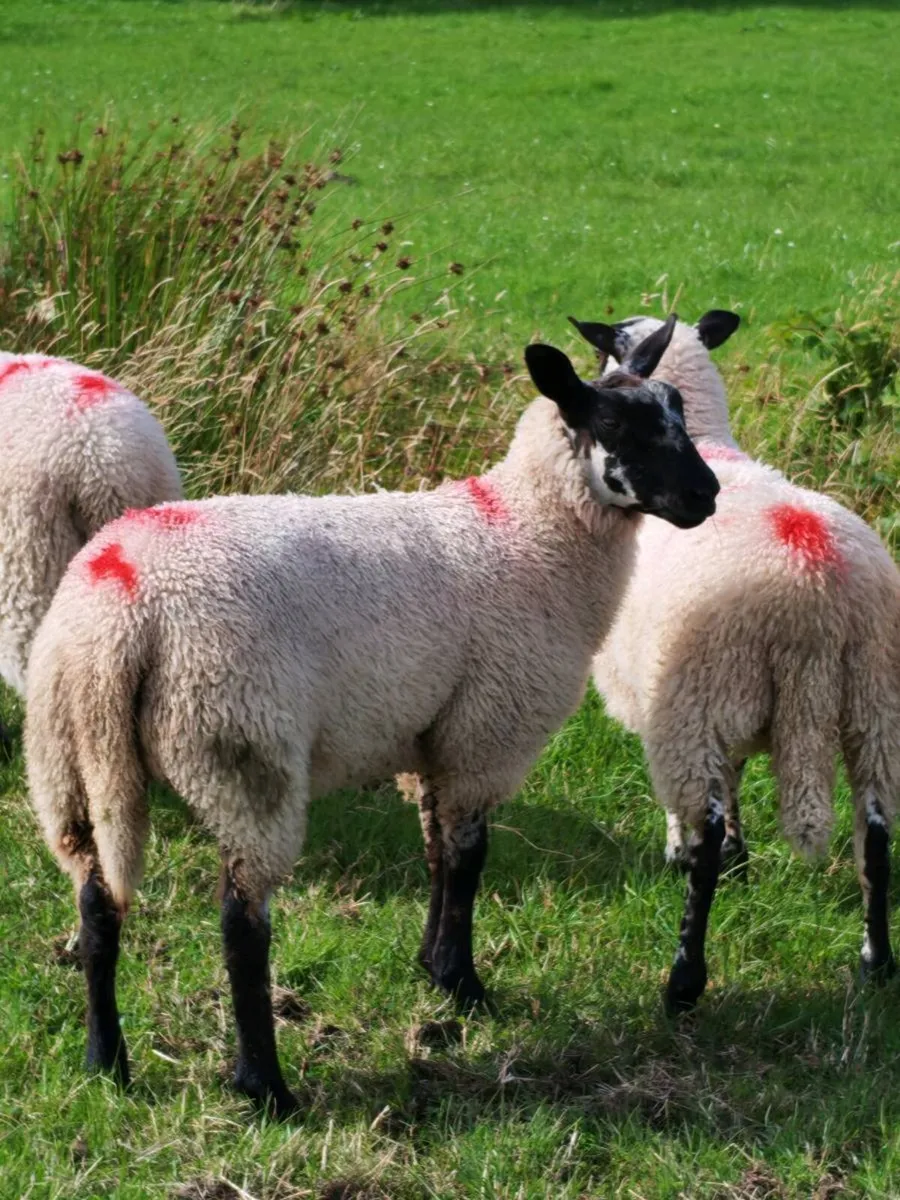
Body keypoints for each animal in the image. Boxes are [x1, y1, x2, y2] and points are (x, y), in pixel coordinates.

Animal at [24, 318, 719, 1116]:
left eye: (678, 410)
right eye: (618, 428)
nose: (707, 496)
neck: (527, 535)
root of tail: (119, 609)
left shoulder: (434, 736)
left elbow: (436, 852)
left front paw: (432, 966)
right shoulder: (487, 731)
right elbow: (469, 858)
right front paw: (465, 984)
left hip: (70, 759)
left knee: (96, 905)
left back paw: (106, 1062)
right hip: (239, 743)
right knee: (241, 924)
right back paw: (265, 1086)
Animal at [569, 310, 900, 1014]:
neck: (705, 441)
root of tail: (815, 592)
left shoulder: (668, 700)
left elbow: (688, 807)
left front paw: (689, 853)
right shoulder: (732, 706)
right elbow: (742, 775)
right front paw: (746, 862)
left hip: (703, 696)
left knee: (706, 838)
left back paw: (683, 982)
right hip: (874, 703)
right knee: (878, 839)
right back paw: (877, 963)